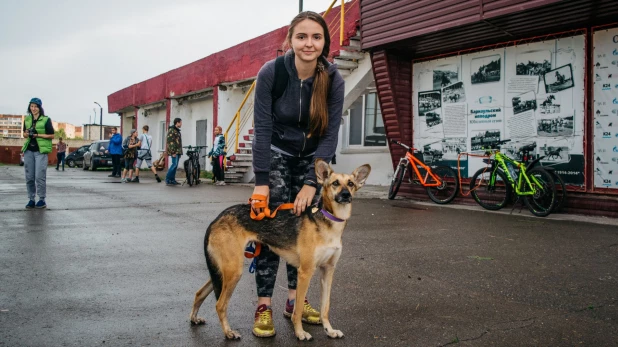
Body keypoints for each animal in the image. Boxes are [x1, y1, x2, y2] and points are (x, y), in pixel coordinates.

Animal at [190, 160, 368, 342]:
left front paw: (329, 330)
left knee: (199, 293)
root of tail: (216, 219)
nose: (346, 195)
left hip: (222, 270)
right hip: (234, 270)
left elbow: (325, 307)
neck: (329, 222)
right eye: (335, 183)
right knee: (220, 305)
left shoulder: (328, 271)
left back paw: (194, 318)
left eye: (351, 184)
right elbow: (297, 310)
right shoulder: (305, 272)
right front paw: (300, 333)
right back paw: (228, 332)